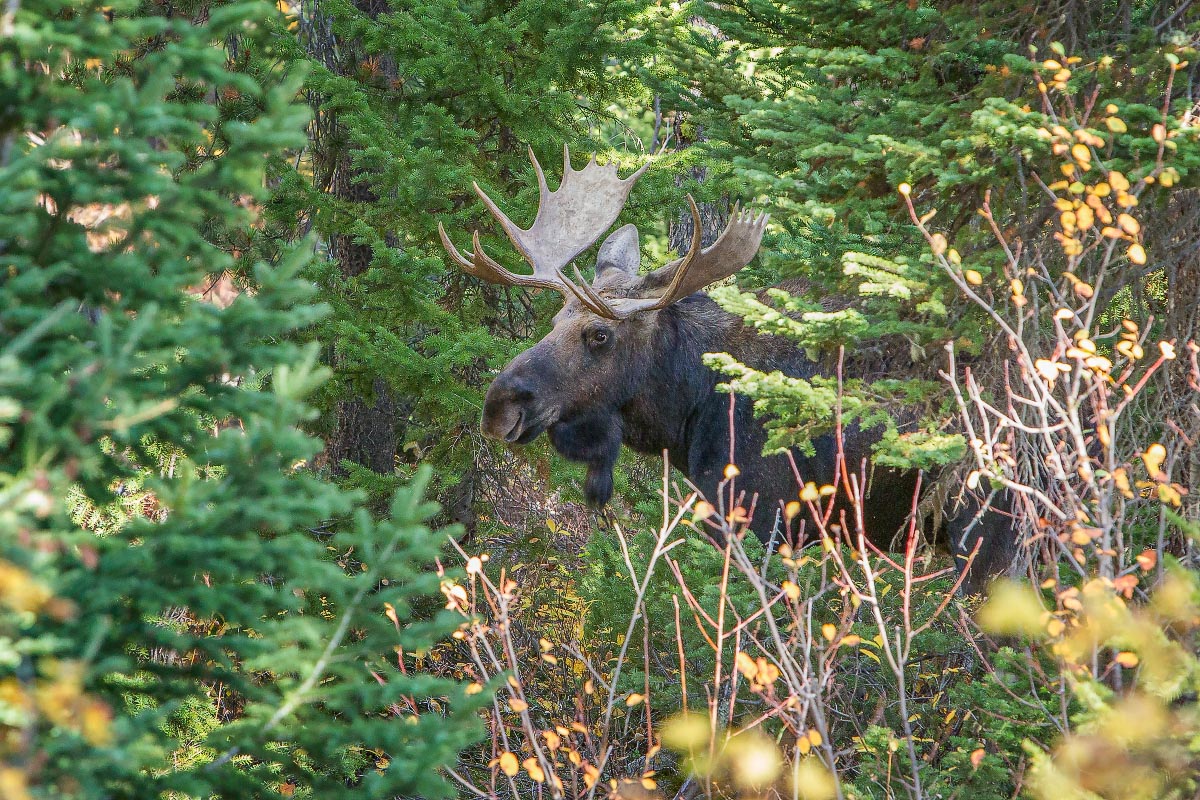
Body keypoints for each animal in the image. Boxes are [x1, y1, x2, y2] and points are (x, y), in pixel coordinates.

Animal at [439, 146, 1012, 592]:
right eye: (554, 320)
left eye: (599, 334)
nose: (500, 404)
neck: (688, 411)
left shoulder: (760, 516)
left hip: (983, 534)